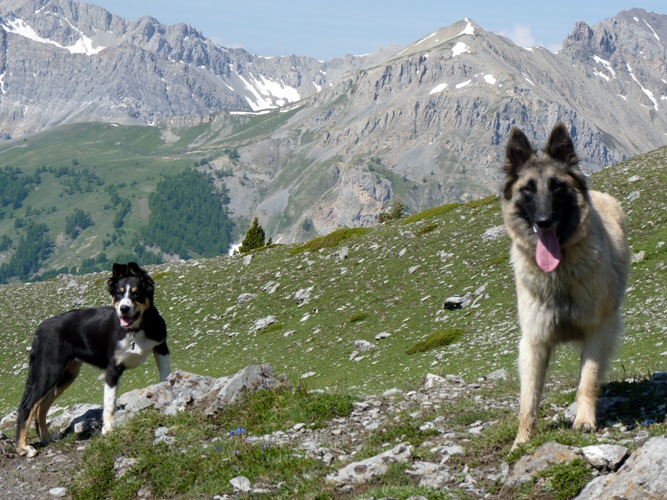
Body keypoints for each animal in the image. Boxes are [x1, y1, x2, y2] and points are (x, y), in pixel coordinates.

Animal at [16, 262, 170, 458]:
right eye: (119, 293)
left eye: (136, 293)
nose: (123, 308)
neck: (136, 330)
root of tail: (41, 327)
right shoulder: (113, 368)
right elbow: (110, 404)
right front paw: (108, 431)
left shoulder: (161, 347)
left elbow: (165, 376)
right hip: (48, 371)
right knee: (27, 407)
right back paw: (22, 448)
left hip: (67, 374)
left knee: (41, 406)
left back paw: (46, 437)